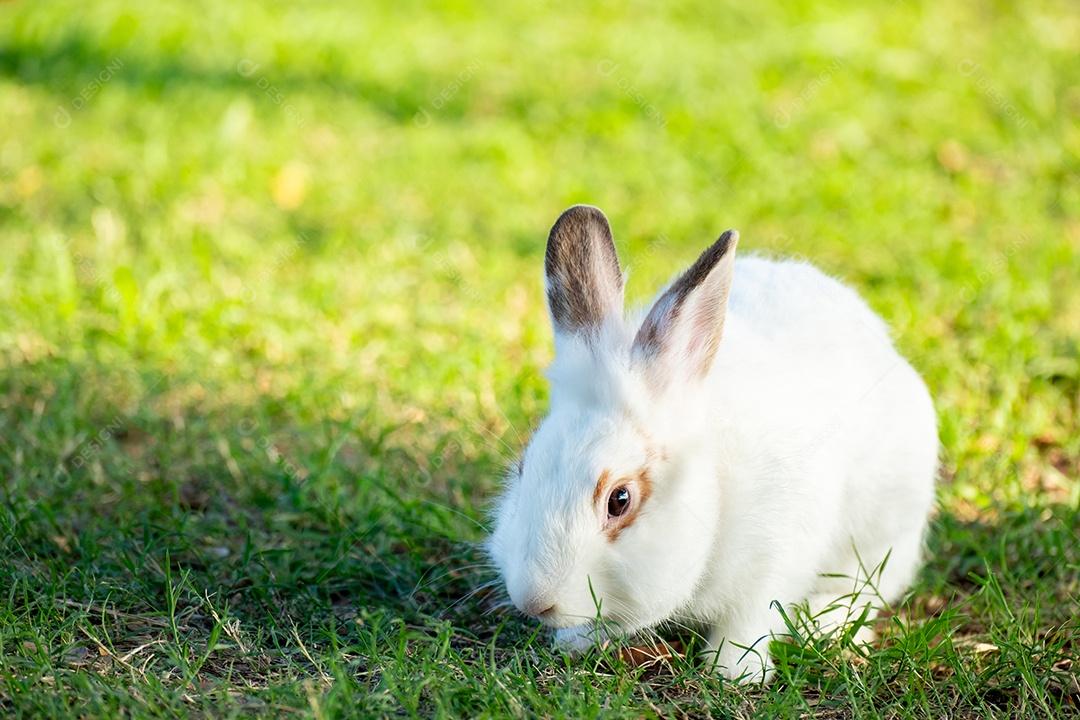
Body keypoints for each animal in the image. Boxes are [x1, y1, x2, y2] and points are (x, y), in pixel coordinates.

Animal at [490, 205, 937, 686]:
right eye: (523, 469)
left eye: (619, 499)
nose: (534, 600)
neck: (716, 491)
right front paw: (577, 641)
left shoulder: (773, 564)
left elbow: (751, 619)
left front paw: (734, 671)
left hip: (883, 536)